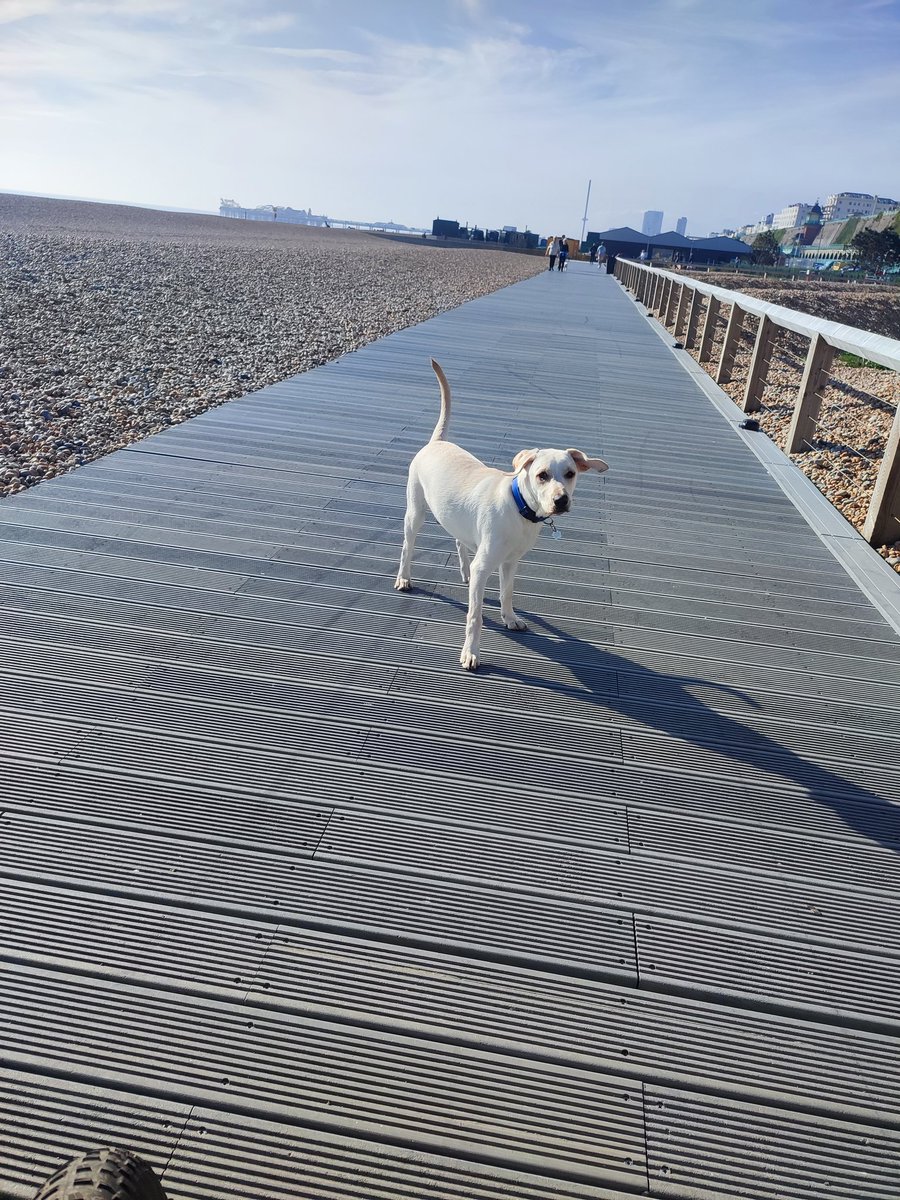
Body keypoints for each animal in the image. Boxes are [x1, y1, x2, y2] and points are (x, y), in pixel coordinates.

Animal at [393, 355, 607, 676]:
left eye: (570, 474)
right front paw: (470, 653)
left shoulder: (511, 562)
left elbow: (507, 592)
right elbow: (475, 616)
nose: (561, 500)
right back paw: (404, 578)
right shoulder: (487, 565)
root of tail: (436, 442)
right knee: (408, 546)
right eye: (542, 475)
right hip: (415, 512)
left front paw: (510, 619)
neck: (520, 511)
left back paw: (466, 572)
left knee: (459, 541)